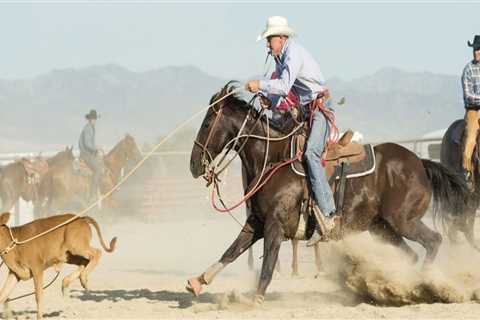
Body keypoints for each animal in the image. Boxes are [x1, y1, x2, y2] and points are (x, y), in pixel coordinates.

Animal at [187, 82, 468, 302]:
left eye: (208, 123)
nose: (193, 164)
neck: (273, 160)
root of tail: (420, 163)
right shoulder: (256, 222)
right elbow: (231, 252)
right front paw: (198, 281)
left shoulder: (275, 226)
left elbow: (267, 266)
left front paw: (254, 299)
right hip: (383, 227)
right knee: (411, 254)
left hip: (403, 220)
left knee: (434, 241)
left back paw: (424, 283)